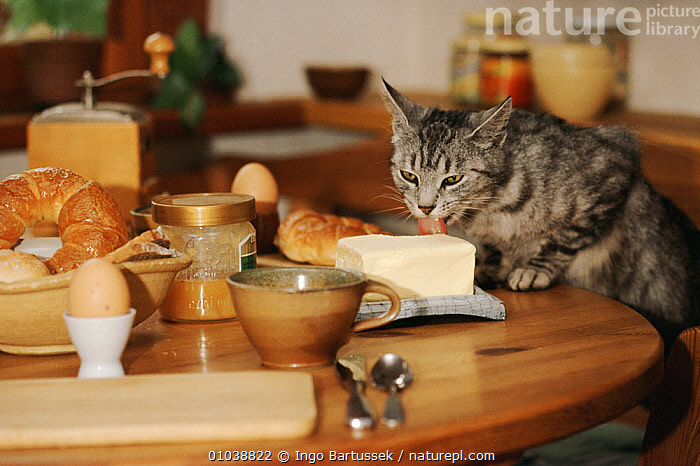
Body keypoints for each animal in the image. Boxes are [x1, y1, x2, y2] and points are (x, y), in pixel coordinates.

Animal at [382, 79, 700, 346]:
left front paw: (533, 270)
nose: (425, 206)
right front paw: (492, 266)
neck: (491, 207)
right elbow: (496, 248)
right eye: (409, 176)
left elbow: (563, 240)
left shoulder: (613, 167)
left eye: (452, 179)